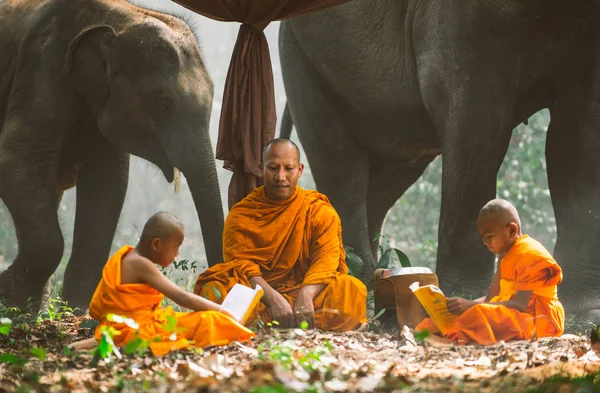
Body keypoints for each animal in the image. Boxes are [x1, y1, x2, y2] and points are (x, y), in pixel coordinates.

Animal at [0, 0, 225, 312]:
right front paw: (6, 292)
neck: (119, 16)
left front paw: (78, 310)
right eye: (163, 105)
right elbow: (14, 164)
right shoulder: (41, 69)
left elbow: (106, 186)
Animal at [280, 0, 600, 322]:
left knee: (388, 172)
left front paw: (588, 311)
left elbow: (580, 138)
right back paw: (354, 284)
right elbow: (477, 123)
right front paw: (467, 299)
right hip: (302, 53)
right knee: (339, 160)